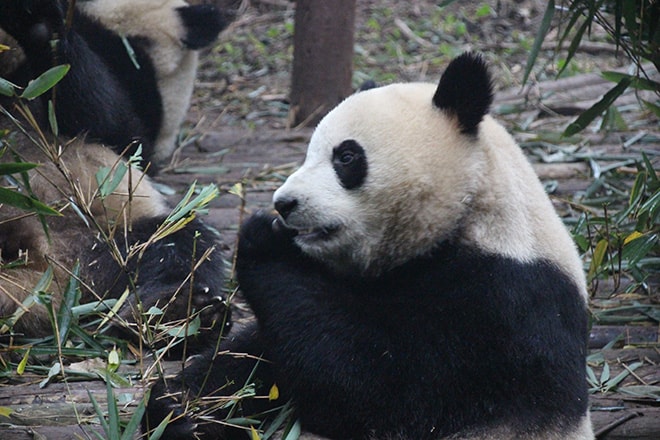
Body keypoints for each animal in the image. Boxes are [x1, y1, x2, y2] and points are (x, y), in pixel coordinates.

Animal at [0, 0, 233, 342]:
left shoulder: (136, 90)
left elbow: (109, 119)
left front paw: (37, 21)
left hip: (111, 237)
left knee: (178, 247)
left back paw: (182, 314)